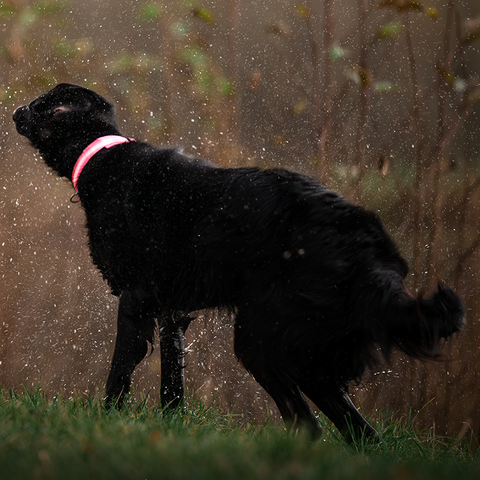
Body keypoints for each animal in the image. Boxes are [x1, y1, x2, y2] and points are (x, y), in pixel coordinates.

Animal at [12, 84, 464, 440]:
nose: (15, 109)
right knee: (359, 433)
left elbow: (118, 374)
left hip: (262, 341)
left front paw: (107, 423)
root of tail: (367, 251)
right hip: (308, 354)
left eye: (39, 104)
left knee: (309, 423)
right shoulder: (172, 313)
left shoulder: (136, 302)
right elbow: (172, 388)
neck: (104, 160)